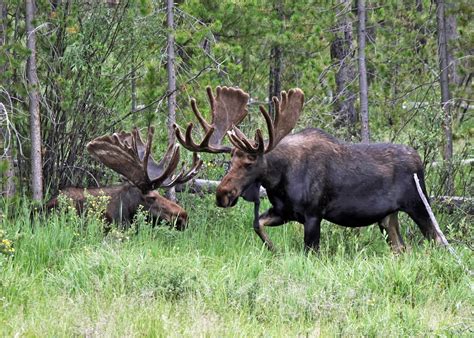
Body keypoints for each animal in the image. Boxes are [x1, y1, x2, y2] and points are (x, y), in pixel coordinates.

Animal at [174, 86, 448, 252]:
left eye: (249, 162)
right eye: (230, 161)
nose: (222, 194)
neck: (279, 180)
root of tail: (419, 160)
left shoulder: (314, 214)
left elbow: (310, 251)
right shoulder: (284, 212)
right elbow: (257, 224)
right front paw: (274, 249)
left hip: (418, 205)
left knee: (438, 239)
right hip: (387, 216)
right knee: (401, 248)